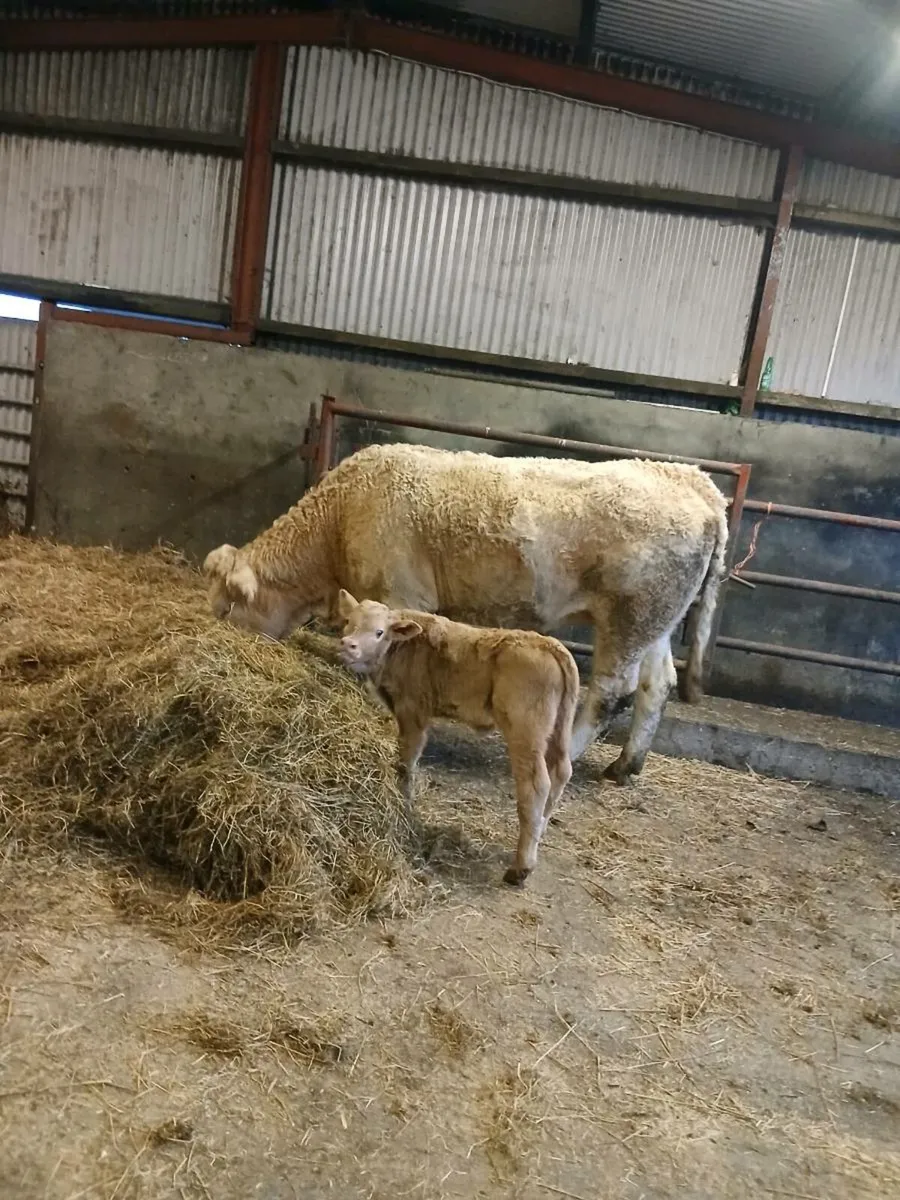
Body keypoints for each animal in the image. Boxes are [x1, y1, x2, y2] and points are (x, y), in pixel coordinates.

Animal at [204, 442, 728, 784]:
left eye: (228, 607)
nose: (220, 640)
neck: (341, 516)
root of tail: (691, 479)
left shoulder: (400, 592)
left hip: (628, 616)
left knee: (611, 693)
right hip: (655, 619)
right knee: (656, 684)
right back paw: (625, 766)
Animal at [337, 590, 578, 885]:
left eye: (379, 632)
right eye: (348, 621)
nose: (348, 646)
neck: (402, 649)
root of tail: (549, 644)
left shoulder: (413, 712)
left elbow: (407, 762)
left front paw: (404, 803)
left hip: (525, 734)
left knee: (536, 786)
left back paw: (520, 868)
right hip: (558, 732)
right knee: (561, 772)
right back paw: (539, 835)